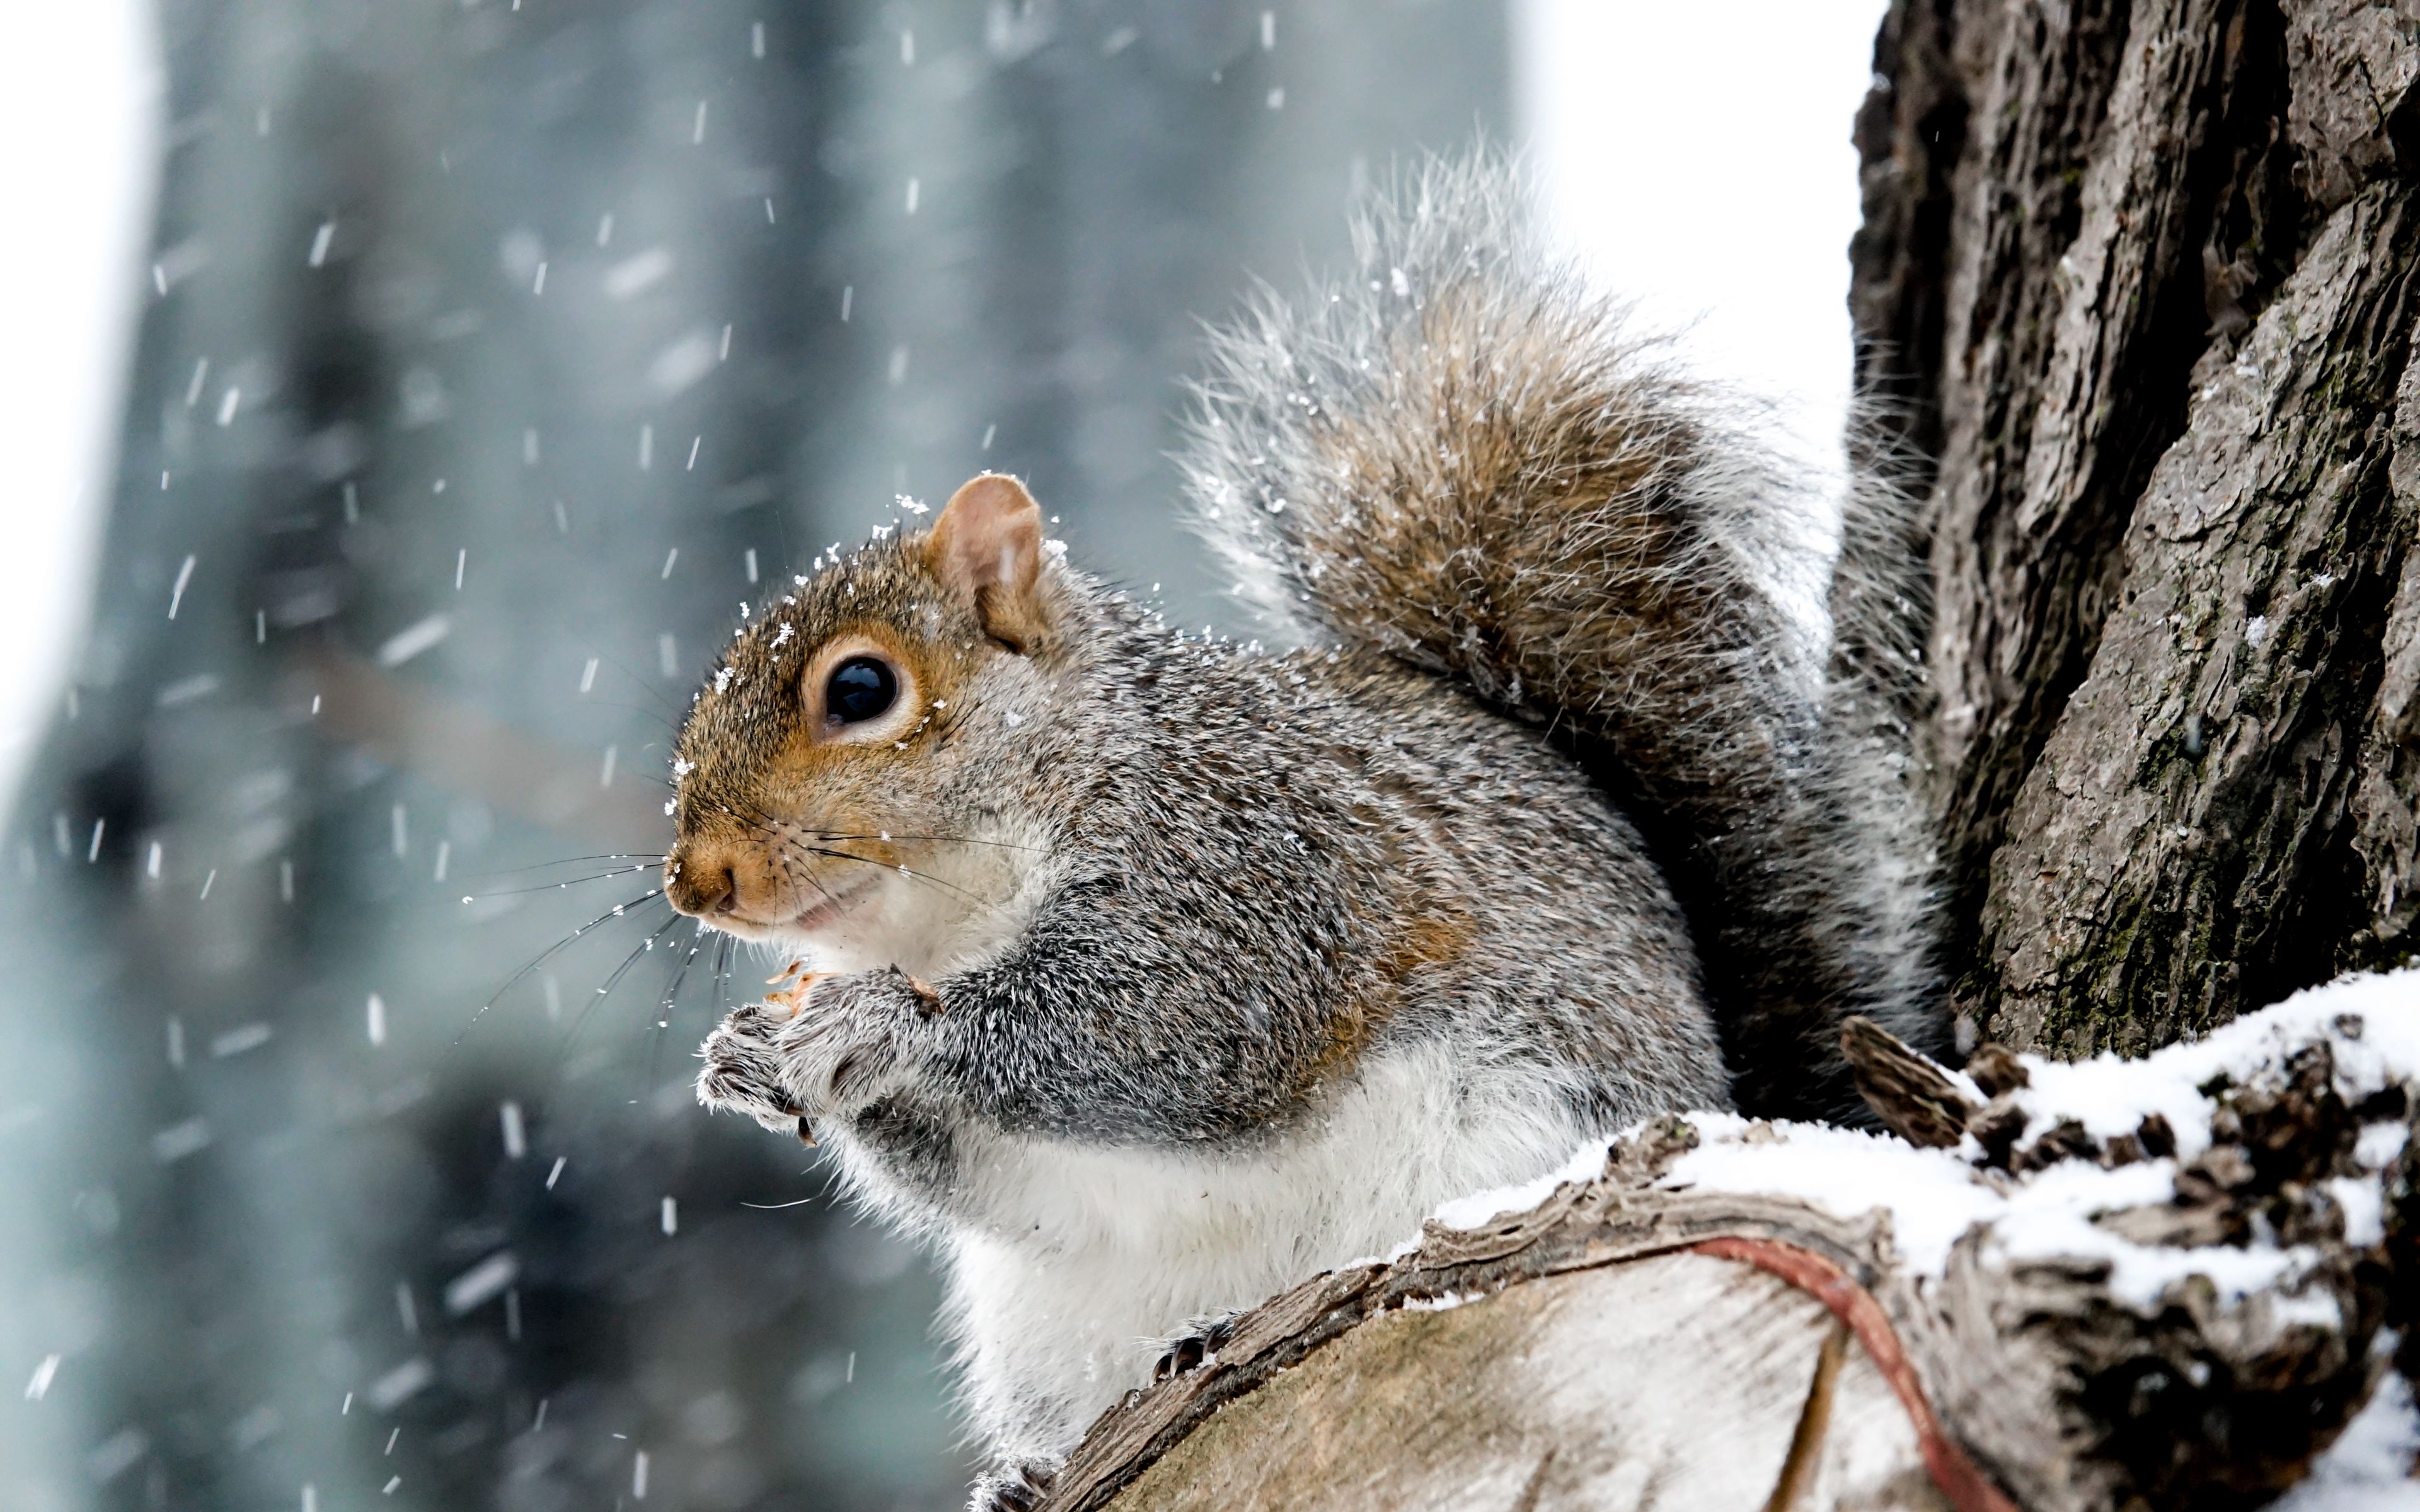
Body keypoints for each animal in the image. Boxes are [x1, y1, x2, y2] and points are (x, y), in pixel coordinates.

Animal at [665, 158, 1940, 1494]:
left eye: (862, 690)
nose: (695, 882)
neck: (959, 908)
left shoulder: (1253, 876)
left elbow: (1146, 1039)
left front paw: (874, 1026)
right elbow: (977, 1173)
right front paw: (745, 1057)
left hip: (1503, 1144)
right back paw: (1027, 1475)